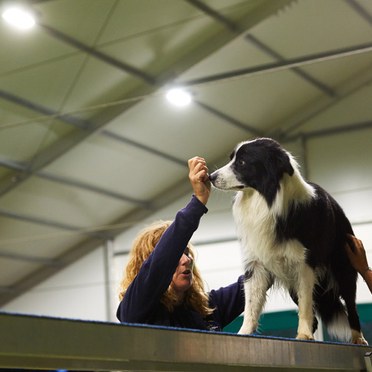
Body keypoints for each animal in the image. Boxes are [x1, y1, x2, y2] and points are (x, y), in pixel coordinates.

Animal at [209, 138, 366, 344]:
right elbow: (250, 305)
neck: (265, 200)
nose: (211, 177)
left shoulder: (304, 263)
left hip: (344, 264)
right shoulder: (256, 263)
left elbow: (306, 302)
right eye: (231, 159)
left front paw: (304, 335)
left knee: (350, 305)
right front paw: (243, 333)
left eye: (242, 162)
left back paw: (358, 339)